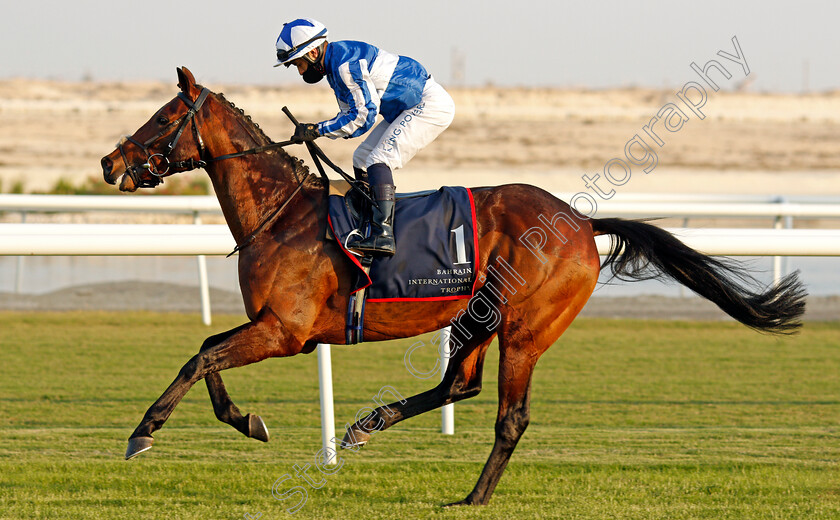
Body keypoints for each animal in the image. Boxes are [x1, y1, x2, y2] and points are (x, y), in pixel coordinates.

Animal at [101, 67, 804, 506]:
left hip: (524, 328)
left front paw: (147, 432)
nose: (110, 162)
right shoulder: (276, 328)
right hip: (477, 318)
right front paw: (245, 420)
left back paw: (474, 495)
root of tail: (580, 222)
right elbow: (206, 351)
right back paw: (368, 424)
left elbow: (202, 358)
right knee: (457, 385)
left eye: (162, 117)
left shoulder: (285, 331)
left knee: (509, 416)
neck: (283, 217)